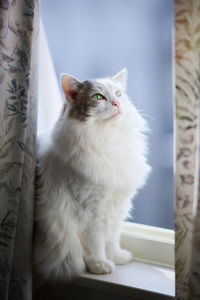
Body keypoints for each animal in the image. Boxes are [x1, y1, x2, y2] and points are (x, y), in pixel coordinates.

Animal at [34, 68, 150, 282]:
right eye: (98, 97)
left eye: (119, 94)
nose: (117, 103)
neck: (108, 139)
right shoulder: (91, 210)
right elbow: (96, 243)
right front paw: (100, 265)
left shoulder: (116, 205)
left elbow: (113, 237)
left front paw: (117, 256)